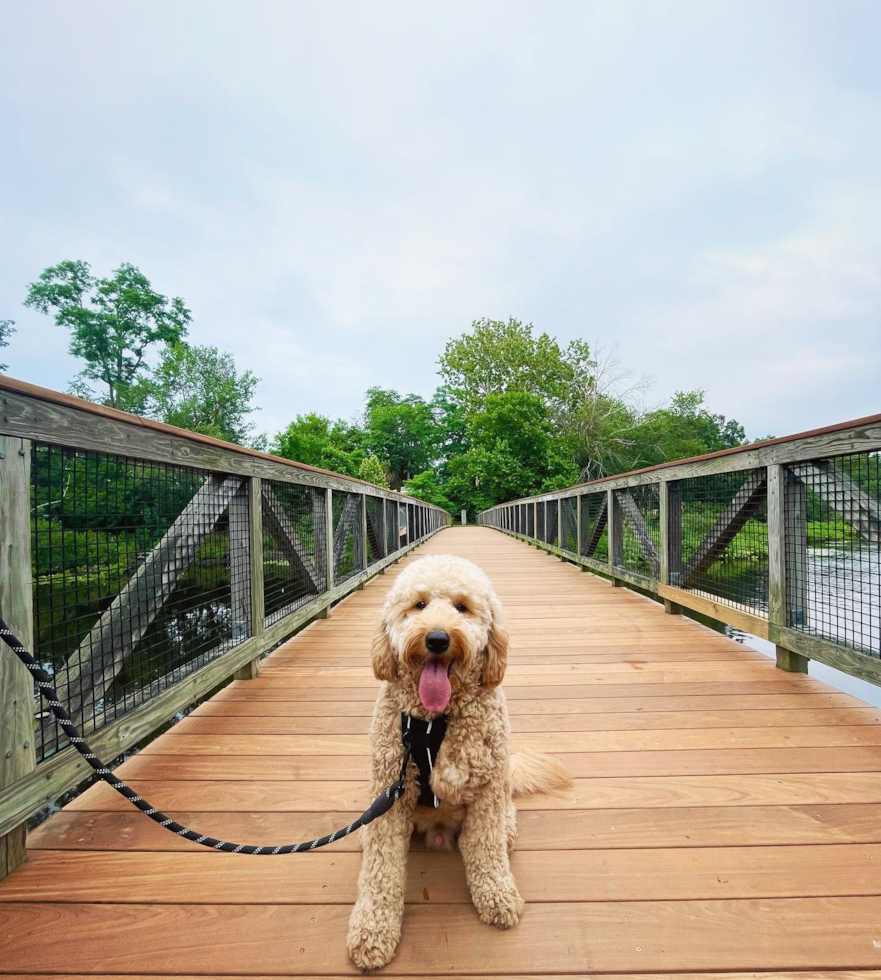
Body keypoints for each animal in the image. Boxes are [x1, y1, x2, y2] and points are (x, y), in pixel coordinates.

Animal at [344, 556, 572, 968]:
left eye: (462, 607)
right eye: (418, 604)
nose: (437, 639)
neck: (434, 721)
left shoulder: (486, 791)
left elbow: (485, 849)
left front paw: (497, 897)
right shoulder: (390, 793)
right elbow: (381, 870)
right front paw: (372, 931)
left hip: (502, 802)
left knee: (495, 835)